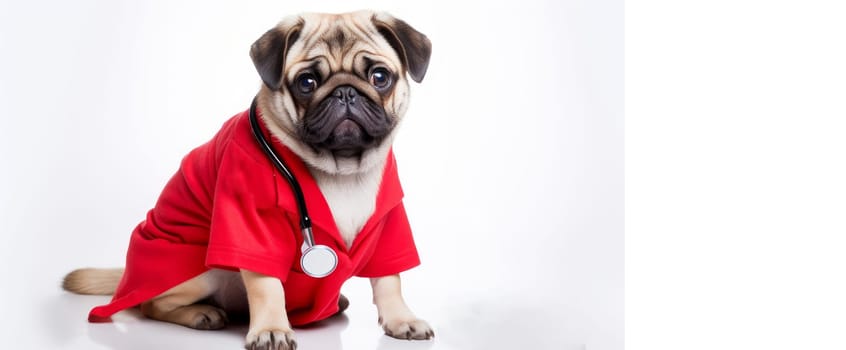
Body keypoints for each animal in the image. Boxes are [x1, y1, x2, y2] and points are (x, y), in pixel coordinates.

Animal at [63, 9, 434, 348]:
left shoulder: (389, 222)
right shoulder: (251, 221)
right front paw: (272, 328)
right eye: (307, 83)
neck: (340, 170)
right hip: (201, 270)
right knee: (150, 304)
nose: (344, 92)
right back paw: (201, 314)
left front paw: (401, 319)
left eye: (380, 76)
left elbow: (389, 279)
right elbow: (265, 285)